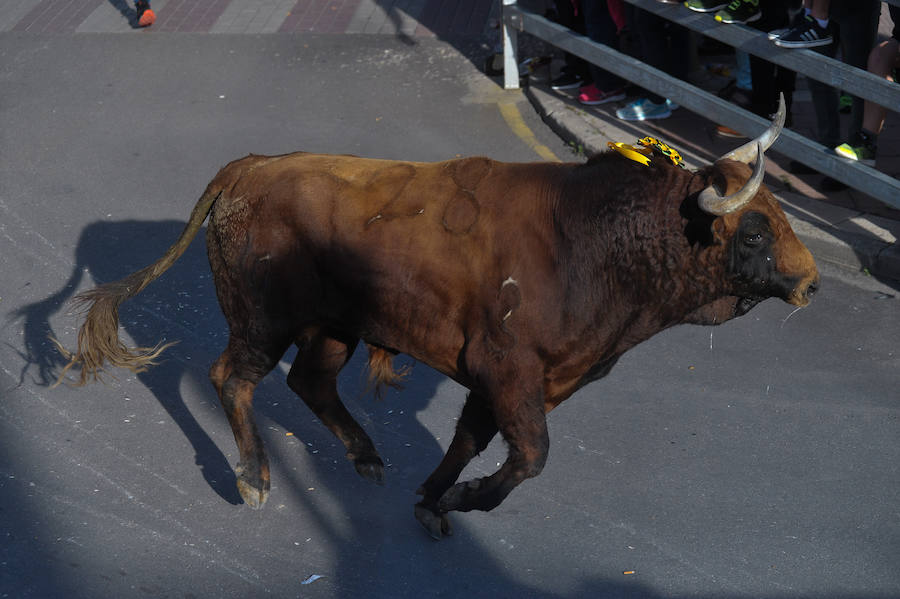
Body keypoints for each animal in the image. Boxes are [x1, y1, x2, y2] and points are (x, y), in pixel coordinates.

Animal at [56, 98, 816, 540]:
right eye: (753, 232)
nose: (809, 279)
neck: (597, 238)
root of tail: (251, 167)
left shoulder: (518, 382)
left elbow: (471, 440)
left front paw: (433, 499)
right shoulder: (508, 371)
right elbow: (529, 456)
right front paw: (466, 498)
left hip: (336, 326)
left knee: (310, 383)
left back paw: (365, 457)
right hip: (262, 322)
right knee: (231, 378)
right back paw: (255, 478)